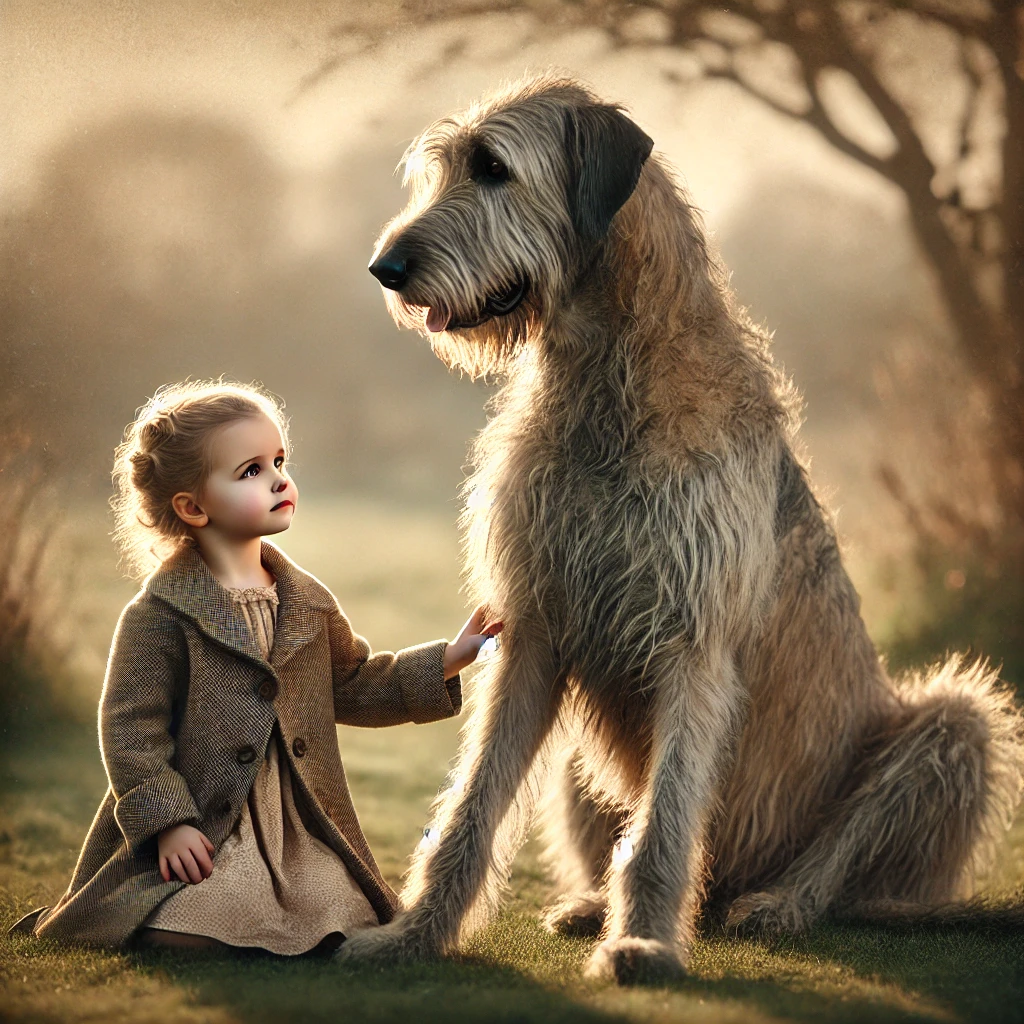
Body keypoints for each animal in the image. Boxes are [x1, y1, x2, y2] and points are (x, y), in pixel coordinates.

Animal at [344, 74, 1024, 983]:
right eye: (444, 167)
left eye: (492, 168)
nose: (385, 269)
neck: (607, 388)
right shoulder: (535, 630)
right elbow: (473, 805)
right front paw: (413, 935)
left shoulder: (691, 641)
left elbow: (662, 825)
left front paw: (642, 944)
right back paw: (592, 904)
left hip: (951, 728)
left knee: (850, 853)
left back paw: (777, 903)